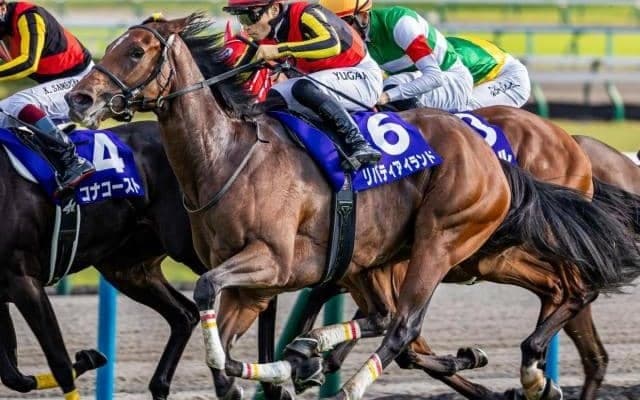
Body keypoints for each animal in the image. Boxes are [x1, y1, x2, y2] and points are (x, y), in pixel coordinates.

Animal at [0, 120, 208, 400]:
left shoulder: (23, 279)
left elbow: (60, 364)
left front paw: (85, 359)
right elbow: (12, 375)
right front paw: (89, 358)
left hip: (192, 246)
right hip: (127, 268)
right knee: (184, 315)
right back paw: (161, 385)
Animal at [65, 14, 640, 400]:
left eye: (136, 52)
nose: (79, 99)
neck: (228, 155)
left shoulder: (275, 264)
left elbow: (212, 294)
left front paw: (294, 367)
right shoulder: (262, 284)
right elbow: (230, 342)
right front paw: (277, 368)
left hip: (443, 241)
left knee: (407, 323)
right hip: (466, 251)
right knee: (557, 291)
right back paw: (530, 372)